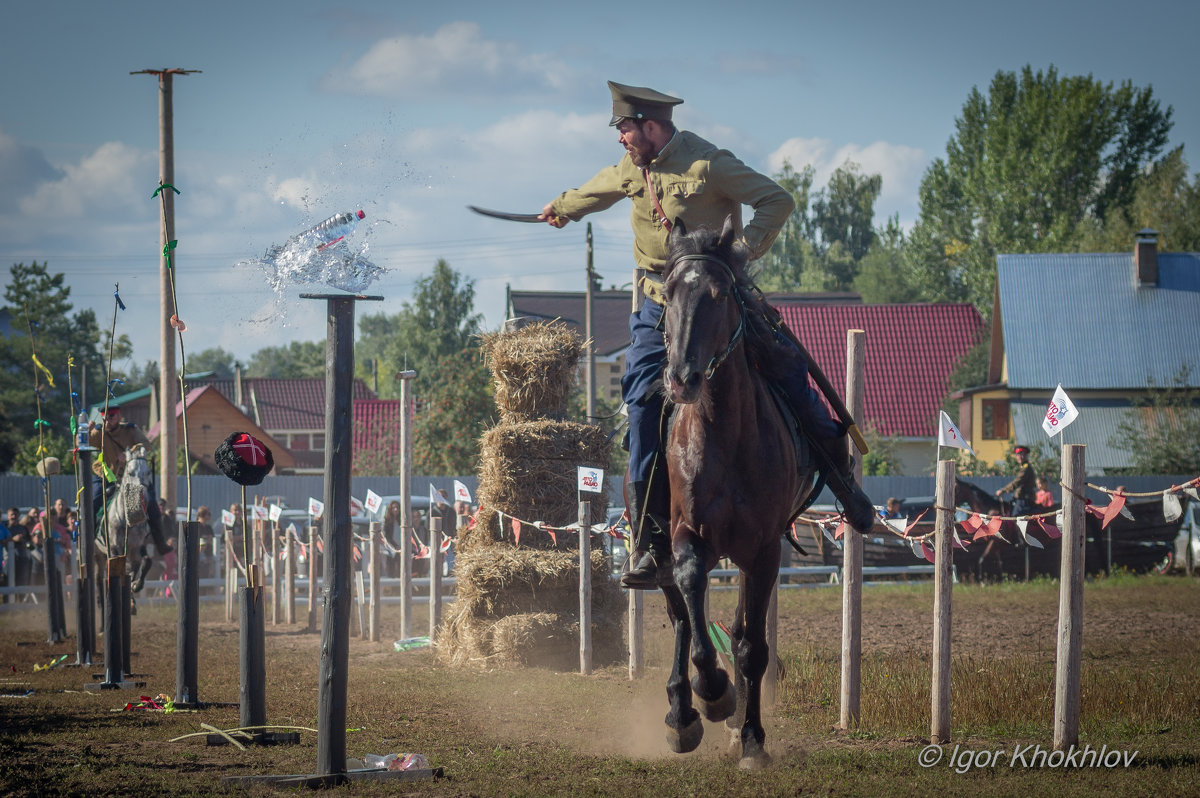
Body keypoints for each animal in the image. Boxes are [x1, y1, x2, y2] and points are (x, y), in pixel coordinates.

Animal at [657, 214, 816, 768]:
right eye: (667, 293)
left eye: (720, 293)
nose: (682, 378)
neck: (724, 434)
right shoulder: (686, 537)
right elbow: (695, 620)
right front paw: (711, 691)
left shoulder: (763, 550)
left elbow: (751, 647)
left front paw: (751, 738)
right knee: (682, 618)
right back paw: (682, 714)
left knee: (742, 630)